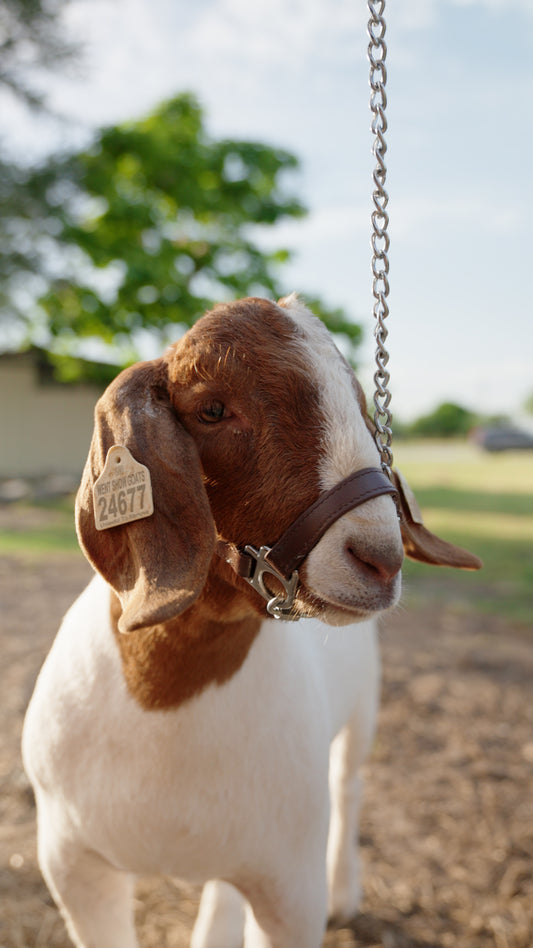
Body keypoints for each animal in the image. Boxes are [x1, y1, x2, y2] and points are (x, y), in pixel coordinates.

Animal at [22, 295, 479, 947]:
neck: (166, 705)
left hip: (361, 710)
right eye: (212, 408)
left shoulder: (290, 886)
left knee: (350, 783)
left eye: (364, 409)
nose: (380, 558)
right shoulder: (73, 866)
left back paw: (345, 893)